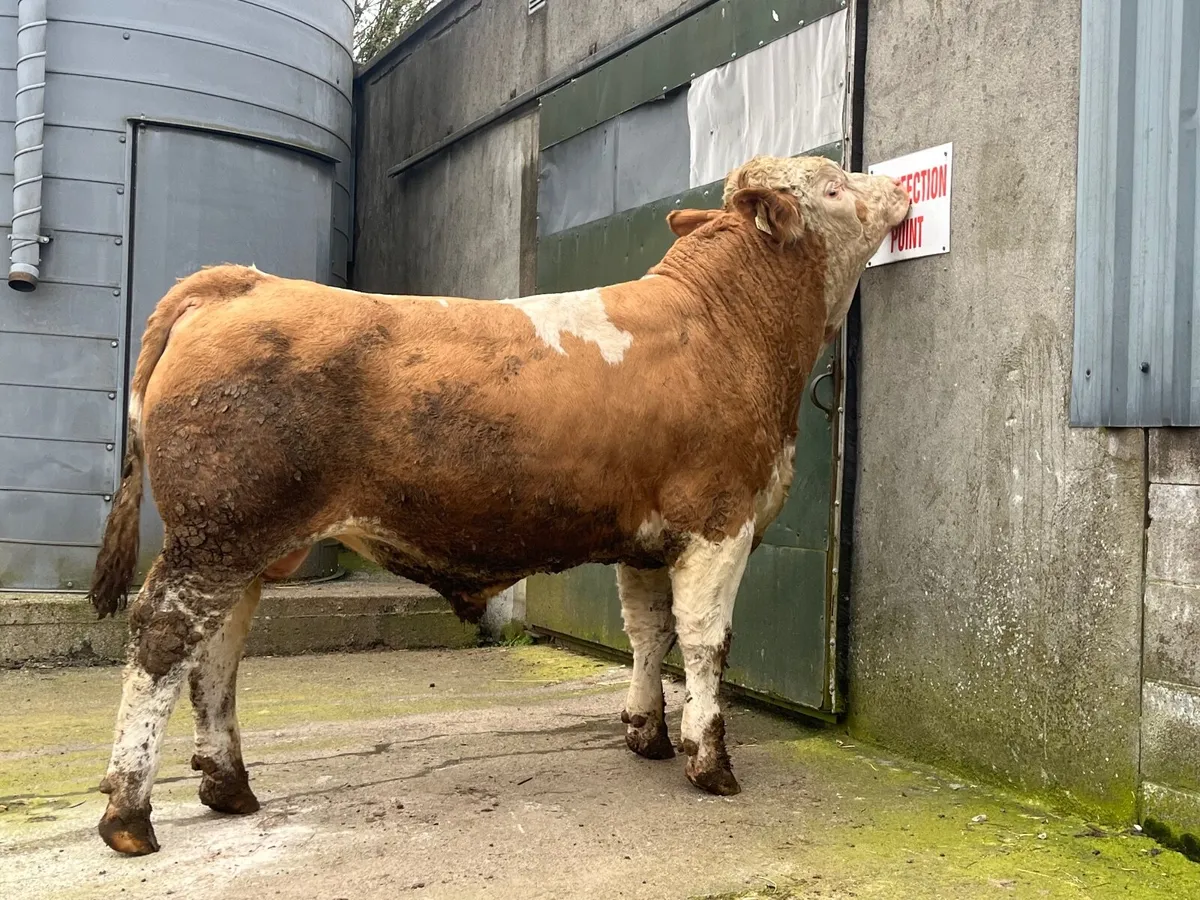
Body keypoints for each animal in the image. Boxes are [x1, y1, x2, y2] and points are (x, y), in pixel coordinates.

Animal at [87, 154, 910, 855]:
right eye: (833, 184)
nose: (900, 186)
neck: (727, 328)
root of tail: (247, 283)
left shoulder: (649, 538)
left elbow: (648, 633)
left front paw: (645, 733)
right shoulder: (719, 522)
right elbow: (708, 641)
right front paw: (710, 761)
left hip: (243, 541)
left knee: (218, 647)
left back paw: (228, 786)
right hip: (218, 531)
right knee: (164, 638)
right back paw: (129, 813)